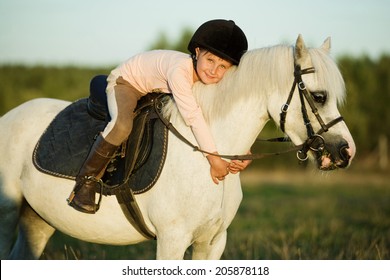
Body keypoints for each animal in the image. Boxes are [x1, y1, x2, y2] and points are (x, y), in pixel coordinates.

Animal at [0, 35, 354, 260]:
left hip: (38, 219)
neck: (206, 155)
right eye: (319, 96)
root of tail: (10, 116)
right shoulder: (172, 241)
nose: (345, 152)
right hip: (8, 212)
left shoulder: (212, 242)